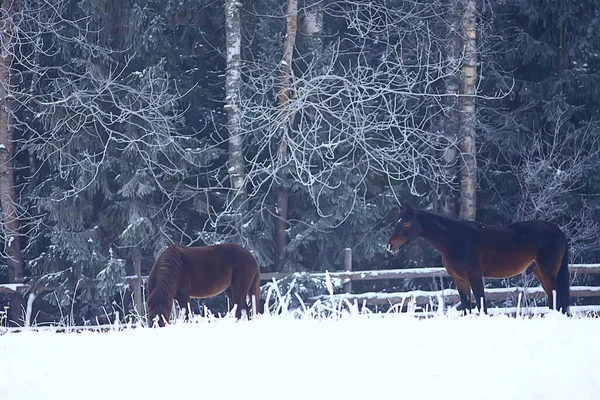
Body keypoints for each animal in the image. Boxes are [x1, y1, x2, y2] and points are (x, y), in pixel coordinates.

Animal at [386, 206, 568, 316]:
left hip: (547, 272)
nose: (390, 245)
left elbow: (482, 306)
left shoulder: (475, 276)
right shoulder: (459, 280)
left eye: (406, 224)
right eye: (397, 222)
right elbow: (466, 306)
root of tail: (558, 231)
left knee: (557, 298)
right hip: (539, 272)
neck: (455, 239)